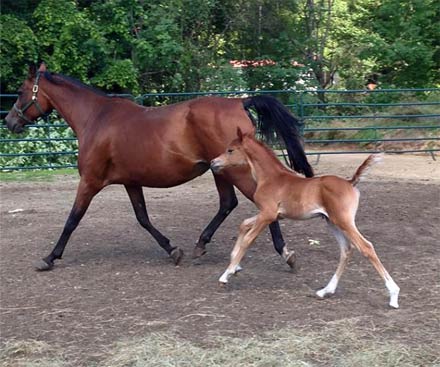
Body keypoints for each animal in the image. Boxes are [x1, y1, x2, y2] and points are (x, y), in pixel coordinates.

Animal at [211, 129, 400, 308]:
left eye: (230, 150)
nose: (213, 162)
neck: (271, 178)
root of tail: (350, 182)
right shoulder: (270, 214)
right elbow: (243, 224)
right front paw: (234, 264)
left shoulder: (267, 214)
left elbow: (248, 239)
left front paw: (226, 275)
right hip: (332, 222)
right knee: (346, 250)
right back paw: (325, 291)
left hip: (344, 221)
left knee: (366, 247)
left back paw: (393, 295)